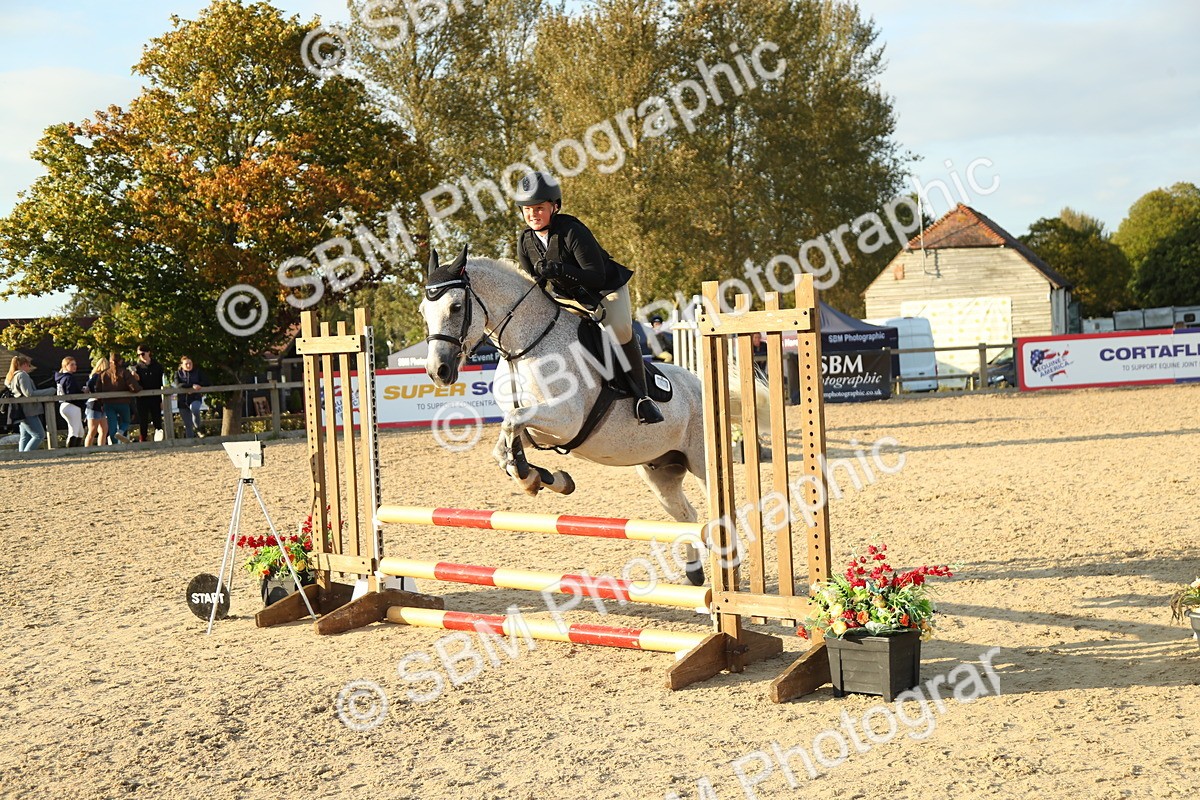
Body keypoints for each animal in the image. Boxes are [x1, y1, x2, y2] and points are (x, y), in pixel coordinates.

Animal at [419, 246, 761, 586]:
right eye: (424, 311)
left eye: (456, 307)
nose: (438, 371)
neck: (525, 346)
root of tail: (702, 385)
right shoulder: (538, 432)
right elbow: (504, 445)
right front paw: (541, 478)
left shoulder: (565, 421)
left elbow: (511, 421)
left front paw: (531, 476)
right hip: (661, 472)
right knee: (687, 516)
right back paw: (694, 574)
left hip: (703, 464)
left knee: (723, 513)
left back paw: (730, 568)